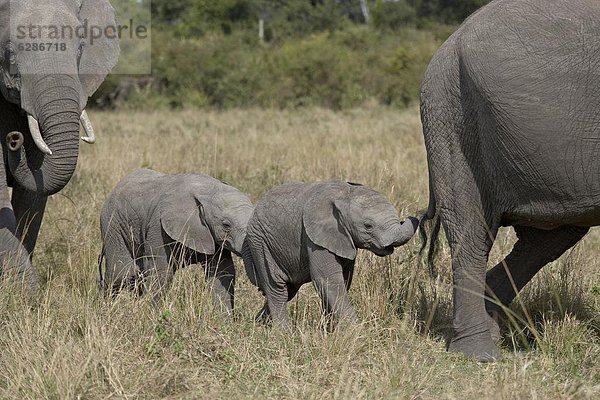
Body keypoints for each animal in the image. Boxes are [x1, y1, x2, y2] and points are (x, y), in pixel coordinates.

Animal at [99, 168, 254, 312]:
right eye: (226, 225)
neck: (208, 191)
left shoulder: (212, 237)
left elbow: (222, 272)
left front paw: (223, 319)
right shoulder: (158, 228)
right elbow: (161, 272)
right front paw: (151, 315)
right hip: (113, 225)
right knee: (122, 274)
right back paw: (106, 306)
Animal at [243, 181, 418, 332]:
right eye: (368, 226)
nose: (415, 216)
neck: (346, 195)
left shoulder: (343, 239)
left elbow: (343, 280)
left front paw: (331, 330)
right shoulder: (316, 238)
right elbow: (328, 280)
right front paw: (357, 333)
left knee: (289, 290)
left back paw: (258, 324)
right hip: (261, 243)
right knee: (276, 288)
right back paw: (285, 334)